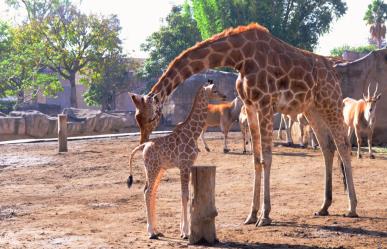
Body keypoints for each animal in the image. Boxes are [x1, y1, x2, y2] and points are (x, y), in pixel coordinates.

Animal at [127, 82, 224, 239]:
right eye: (215, 90)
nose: (224, 96)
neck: (192, 133)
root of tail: (143, 146)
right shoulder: (184, 165)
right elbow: (184, 195)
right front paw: (185, 232)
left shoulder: (189, 165)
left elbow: (186, 195)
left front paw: (182, 230)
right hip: (152, 168)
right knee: (147, 192)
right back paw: (151, 232)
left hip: (158, 169)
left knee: (151, 192)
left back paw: (156, 229)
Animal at [131, 23, 360, 226]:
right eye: (137, 118)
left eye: (151, 117)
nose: (143, 142)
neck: (239, 58)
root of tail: (334, 72)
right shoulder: (250, 106)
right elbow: (255, 159)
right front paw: (252, 215)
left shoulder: (266, 103)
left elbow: (267, 158)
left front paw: (265, 216)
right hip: (312, 108)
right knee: (327, 148)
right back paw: (324, 207)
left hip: (330, 101)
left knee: (343, 146)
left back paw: (352, 208)